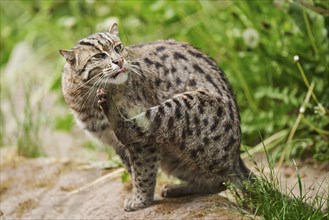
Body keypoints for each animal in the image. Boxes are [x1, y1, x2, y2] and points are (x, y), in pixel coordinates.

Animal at [60, 22, 252, 211]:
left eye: (118, 47)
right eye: (99, 56)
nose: (119, 60)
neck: (89, 95)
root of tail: (236, 158)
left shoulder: (144, 145)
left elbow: (143, 172)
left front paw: (140, 200)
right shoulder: (117, 146)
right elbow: (132, 169)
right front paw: (139, 195)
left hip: (182, 108)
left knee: (129, 130)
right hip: (175, 160)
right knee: (219, 182)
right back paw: (178, 188)